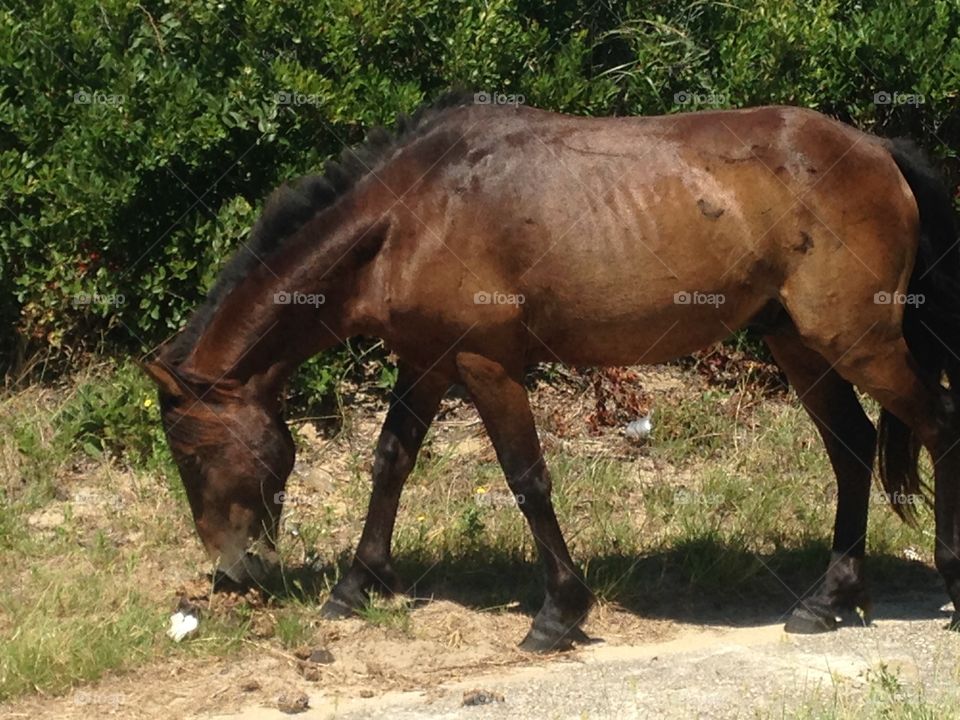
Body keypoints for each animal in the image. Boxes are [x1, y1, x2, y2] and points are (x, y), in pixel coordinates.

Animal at [144, 91, 960, 652]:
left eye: (193, 453)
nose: (231, 570)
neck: (413, 214)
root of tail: (878, 149)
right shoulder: (428, 359)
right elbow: (391, 461)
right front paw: (354, 584)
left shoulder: (487, 364)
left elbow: (526, 480)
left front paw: (558, 613)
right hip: (800, 343)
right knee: (852, 448)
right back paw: (829, 598)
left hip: (858, 341)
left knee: (938, 424)